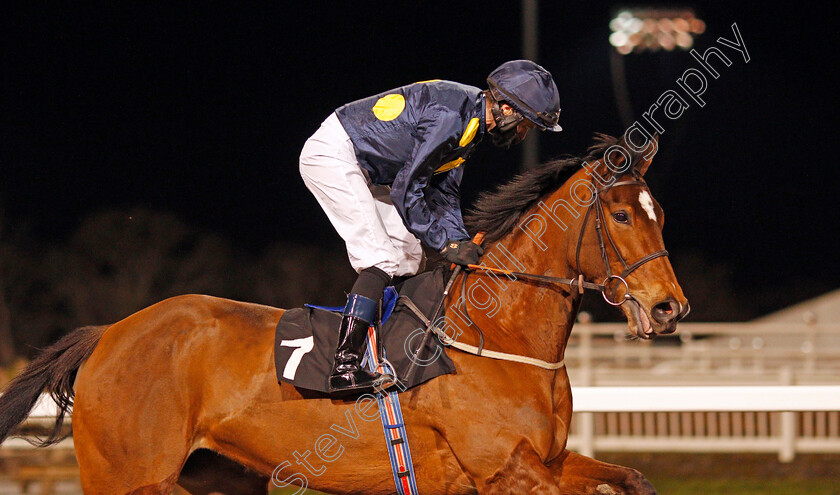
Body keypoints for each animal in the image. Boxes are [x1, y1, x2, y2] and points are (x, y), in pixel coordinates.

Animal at [1, 134, 688, 494]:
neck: (496, 335)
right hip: (126, 476)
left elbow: (633, 480)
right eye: (621, 214)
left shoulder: (548, 460)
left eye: (660, 213)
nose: (668, 306)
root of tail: (108, 334)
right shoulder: (502, 469)